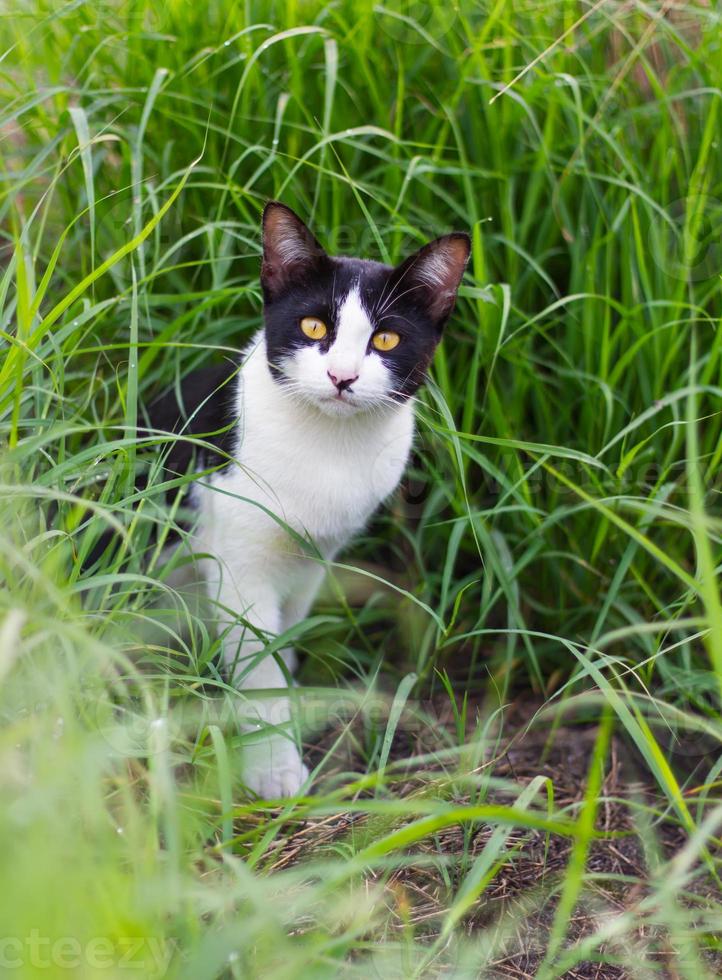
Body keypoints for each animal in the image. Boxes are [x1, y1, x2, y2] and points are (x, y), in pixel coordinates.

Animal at [149, 205, 470, 796]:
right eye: (314, 327)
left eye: (386, 340)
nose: (342, 376)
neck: (329, 446)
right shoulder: (238, 564)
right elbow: (259, 661)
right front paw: (273, 766)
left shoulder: (316, 557)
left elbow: (285, 638)